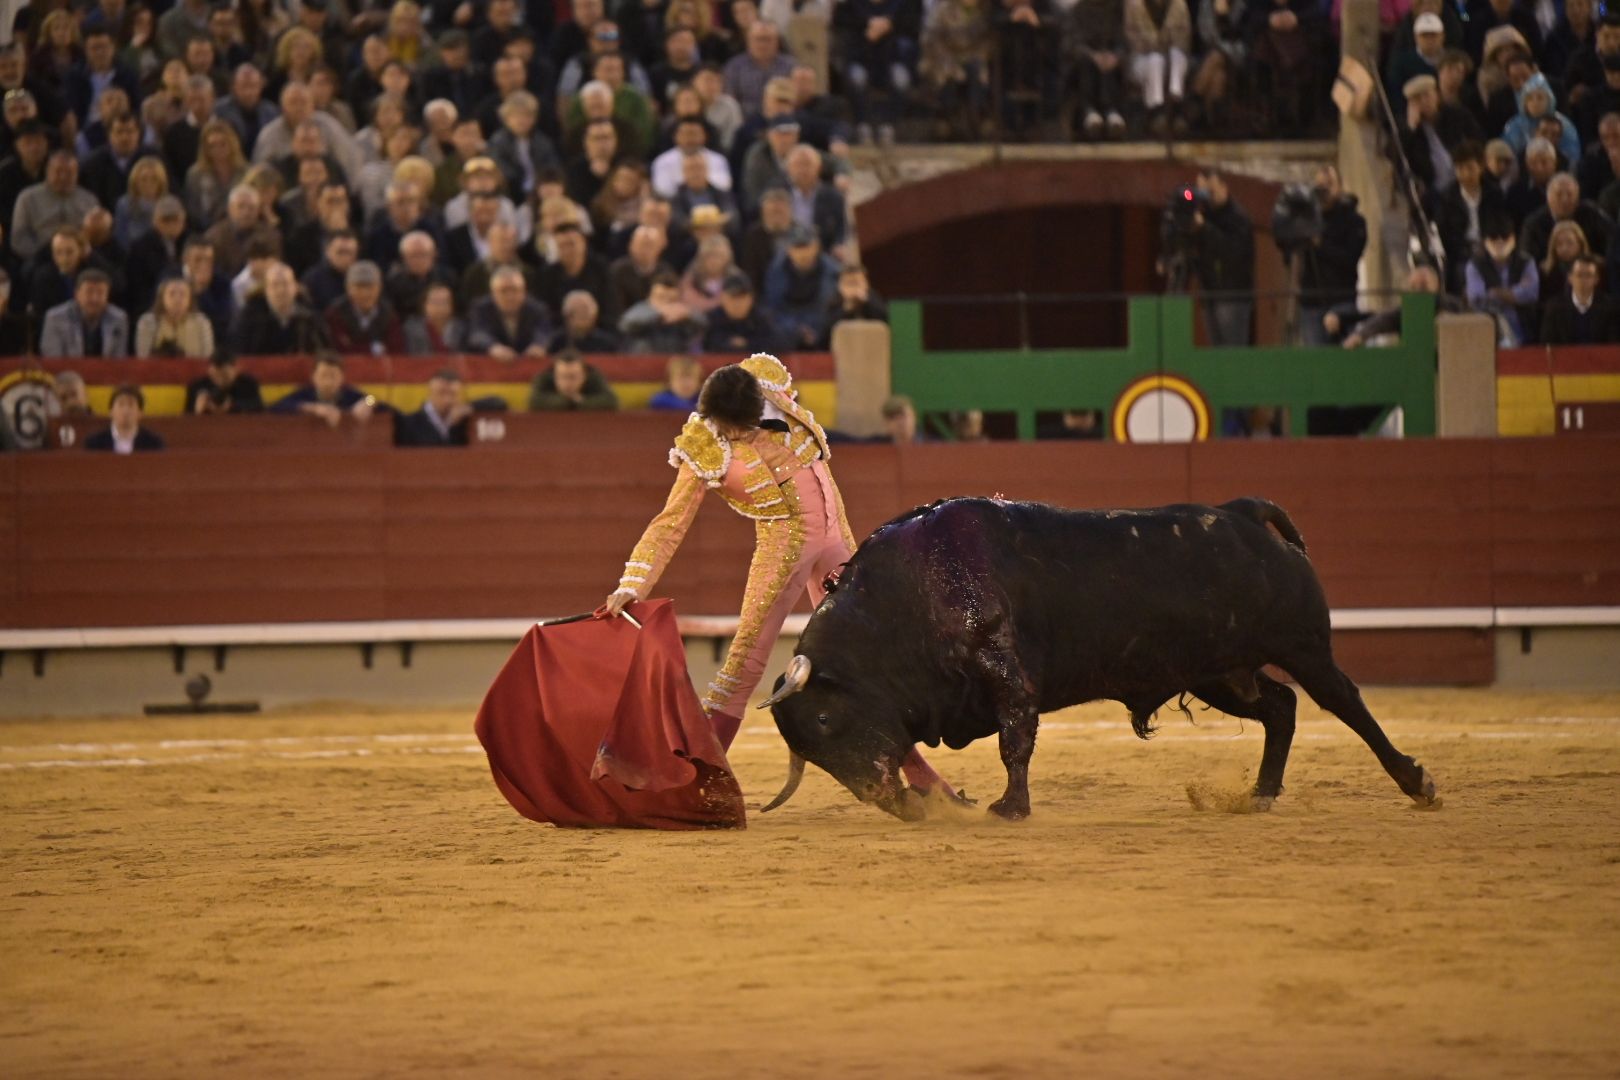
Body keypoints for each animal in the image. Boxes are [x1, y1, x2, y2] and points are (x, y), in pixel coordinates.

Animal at [758, 495, 1445, 819]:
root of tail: (1241, 513)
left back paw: (1417, 783)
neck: (905, 599)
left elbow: (1015, 740)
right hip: (1219, 673)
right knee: (1280, 707)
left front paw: (1010, 809)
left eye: (825, 719)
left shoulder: (1007, 674)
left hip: (1304, 647)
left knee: (1344, 702)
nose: (886, 799)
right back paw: (1260, 795)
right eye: (814, 753)